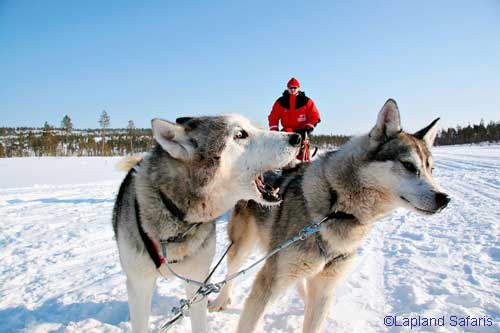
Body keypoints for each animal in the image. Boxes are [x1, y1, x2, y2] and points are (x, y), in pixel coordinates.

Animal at [209, 99, 452, 332]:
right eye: (408, 165)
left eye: (431, 169)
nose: (444, 198)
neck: (336, 207)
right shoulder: (268, 285)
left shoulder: (324, 287)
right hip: (242, 245)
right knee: (231, 272)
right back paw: (221, 300)